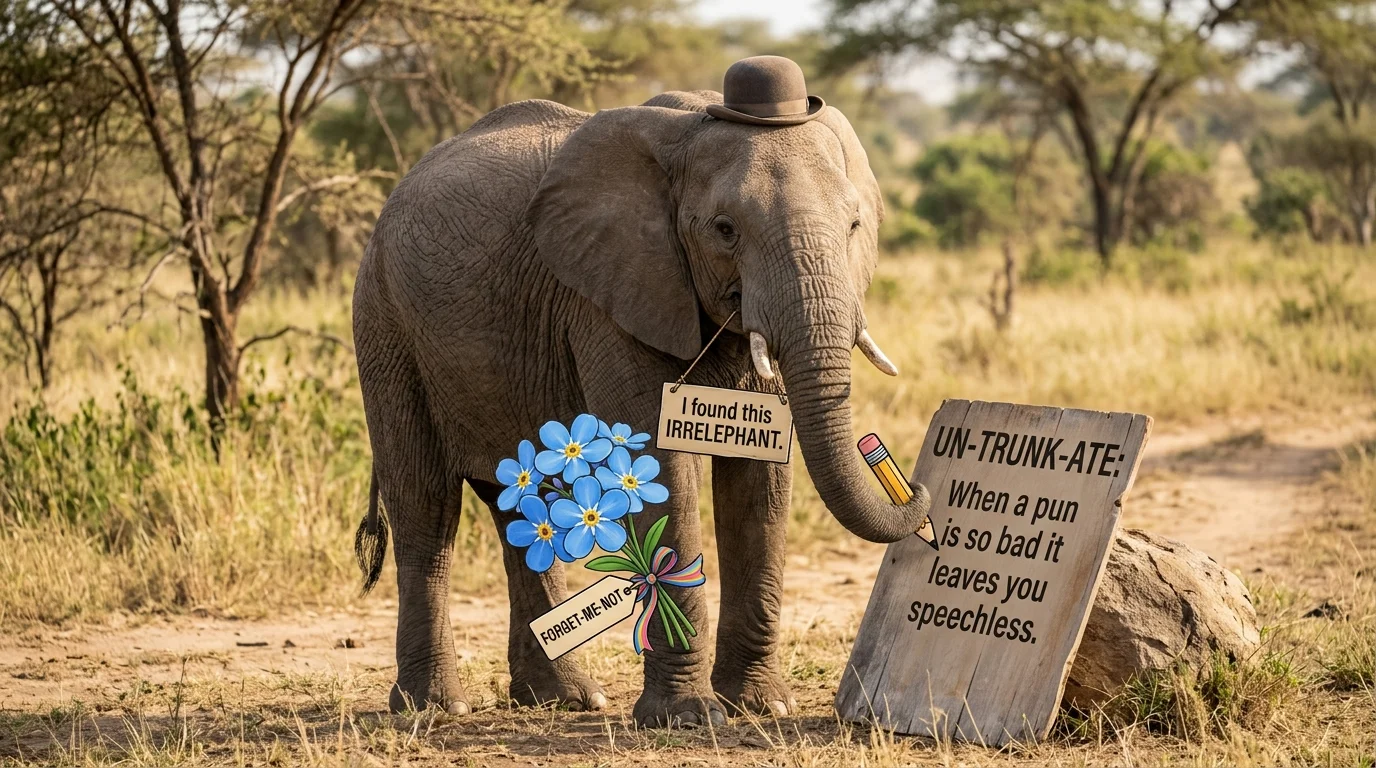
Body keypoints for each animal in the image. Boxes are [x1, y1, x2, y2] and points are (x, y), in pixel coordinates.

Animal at [350, 82, 932, 727]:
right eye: (725, 229)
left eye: (854, 225)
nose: (914, 488)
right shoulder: (607, 297)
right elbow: (657, 464)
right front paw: (689, 718)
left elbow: (759, 474)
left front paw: (762, 706)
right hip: (384, 322)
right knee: (425, 504)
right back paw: (433, 707)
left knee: (519, 506)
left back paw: (567, 698)